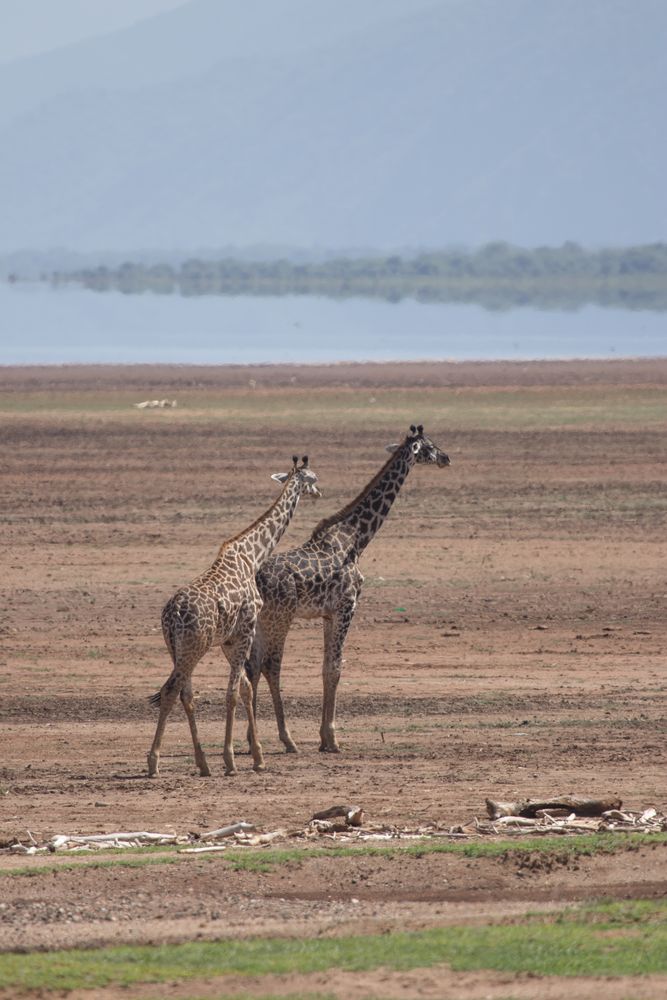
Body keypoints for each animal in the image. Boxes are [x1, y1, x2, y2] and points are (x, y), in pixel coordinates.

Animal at [147, 456, 320, 780]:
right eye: (313, 478)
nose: (319, 492)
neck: (252, 555)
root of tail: (171, 614)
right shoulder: (247, 630)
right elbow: (234, 693)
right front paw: (233, 760)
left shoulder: (229, 640)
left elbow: (244, 687)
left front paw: (257, 757)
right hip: (194, 648)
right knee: (170, 691)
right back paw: (154, 762)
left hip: (175, 648)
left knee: (186, 694)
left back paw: (202, 764)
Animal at [245, 426, 448, 752]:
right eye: (429, 446)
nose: (446, 458)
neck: (357, 539)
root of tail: (255, 579)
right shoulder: (347, 606)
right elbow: (335, 668)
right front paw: (331, 738)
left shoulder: (329, 614)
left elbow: (326, 668)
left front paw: (324, 736)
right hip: (281, 617)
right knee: (271, 665)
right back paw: (286, 739)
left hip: (261, 620)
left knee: (251, 666)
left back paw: (253, 740)